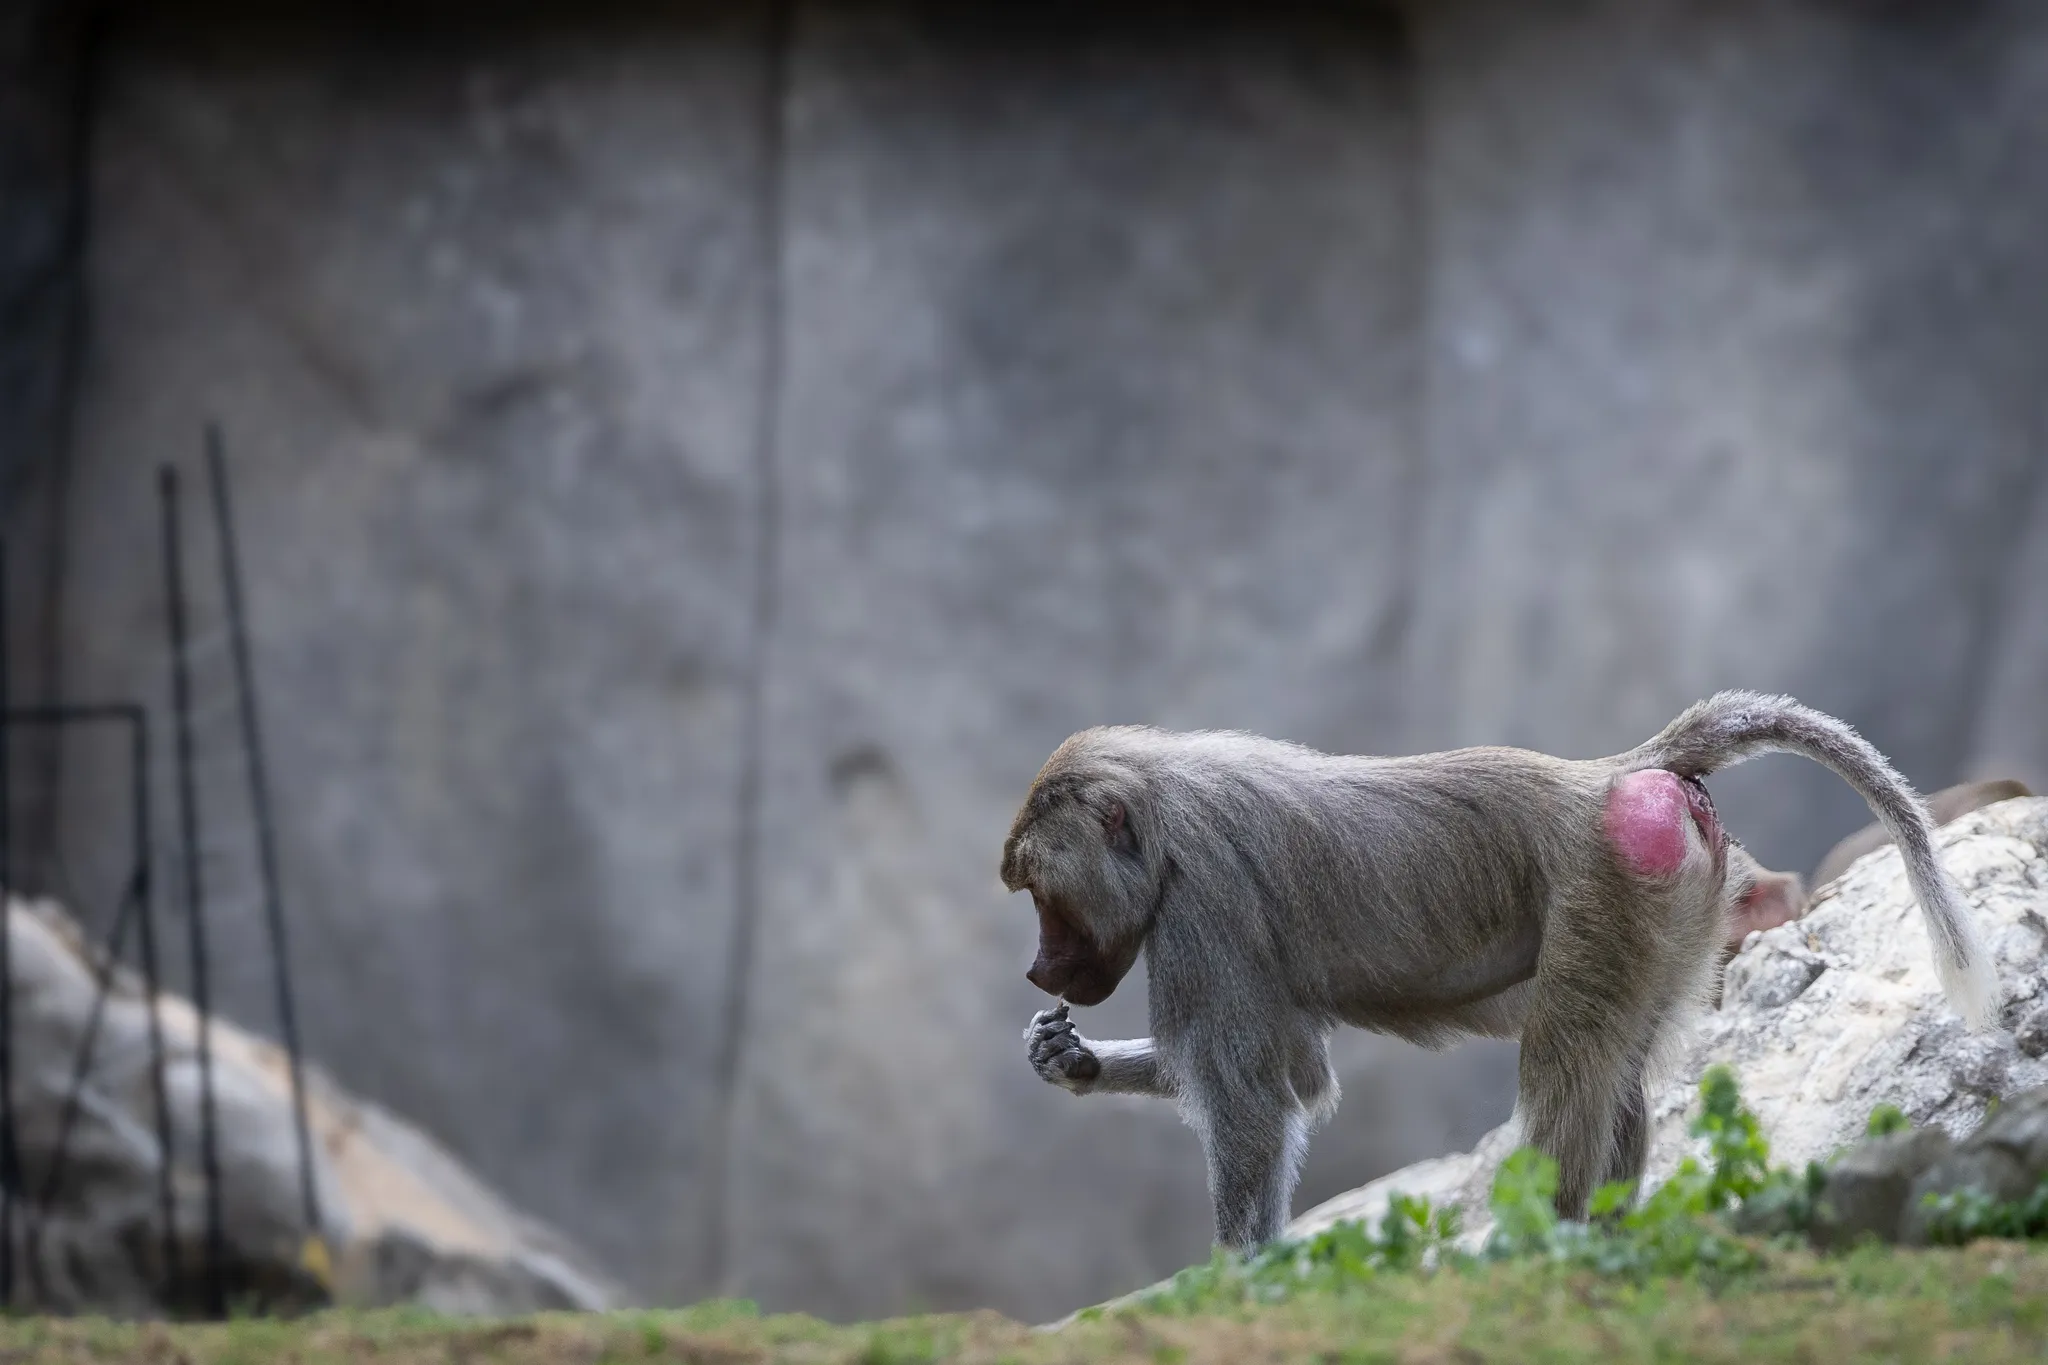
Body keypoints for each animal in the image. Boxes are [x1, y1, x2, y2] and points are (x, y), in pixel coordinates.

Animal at [1002, 691, 1999, 1249]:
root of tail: (1611, 774)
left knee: (1569, 1066)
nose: (1039, 969)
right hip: (1676, 909)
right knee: (1617, 1077)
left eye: (1042, 893)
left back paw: (1538, 1244)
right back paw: (1599, 1240)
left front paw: (1241, 1280)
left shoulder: (1202, 906)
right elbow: (1292, 1073)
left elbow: (1262, 1099)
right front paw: (1069, 1058)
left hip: (1609, 891)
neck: (1161, 814)